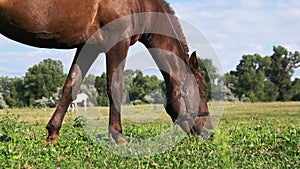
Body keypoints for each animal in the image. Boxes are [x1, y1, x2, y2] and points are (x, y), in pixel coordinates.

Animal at [0, 0, 212, 144]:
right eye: (202, 93)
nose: (209, 133)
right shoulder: (118, 43)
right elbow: (115, 88)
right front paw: (119, 137)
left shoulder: (88, 46)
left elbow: (71, 86)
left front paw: (53, 133)